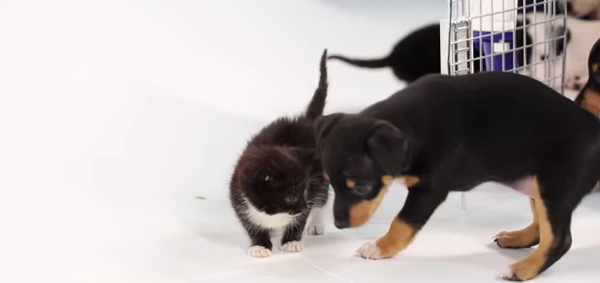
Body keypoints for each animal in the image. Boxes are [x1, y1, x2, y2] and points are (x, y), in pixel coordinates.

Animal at [230, 50, 332, 258]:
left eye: (303, 191)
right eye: (290, 197)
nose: (303, 207)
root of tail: (306, 120)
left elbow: (301, 218)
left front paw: (292, 241)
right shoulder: (238, 199)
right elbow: (250, 224)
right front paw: (260, 245)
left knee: (323, 197)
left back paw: (316, 223)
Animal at [314, 71, 600, 282]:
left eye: (361, 188)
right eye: (331, 184)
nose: (339, 224)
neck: (410, 127)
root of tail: (594, 127)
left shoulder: (429, 190)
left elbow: (402, 222)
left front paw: (380, 248)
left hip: (555, 187)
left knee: (559, 240)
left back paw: (522, 269)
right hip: (535, 183)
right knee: (541, 227)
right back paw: (515, 239)